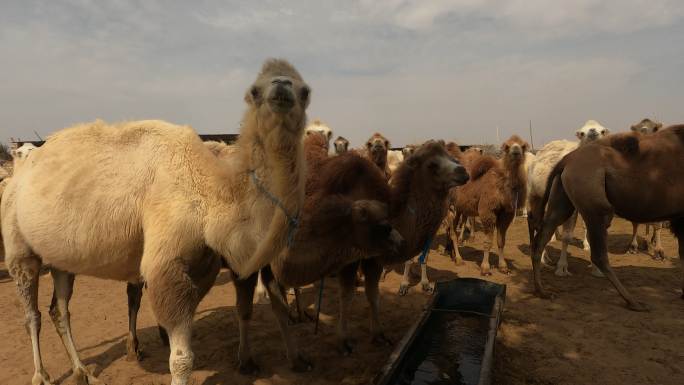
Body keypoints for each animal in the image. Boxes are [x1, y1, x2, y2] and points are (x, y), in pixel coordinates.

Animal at [448, 134, 528, 274]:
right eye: (507, 146)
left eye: (522, 146)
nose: (516, 151)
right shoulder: (487, 211)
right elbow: (488, 242)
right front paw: (485, 267)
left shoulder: (506, 214)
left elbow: (501, 241)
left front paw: (503, 266)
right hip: (449, 207)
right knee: (452, 233)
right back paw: (458, 259)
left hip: (458, 208)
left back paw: (452, 254)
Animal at [532, 124, 684, 310]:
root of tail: (566, 160)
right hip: (593, 203)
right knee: (598, 254)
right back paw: (633, 302)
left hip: (562, 198)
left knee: (543, 235)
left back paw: (542, 291)